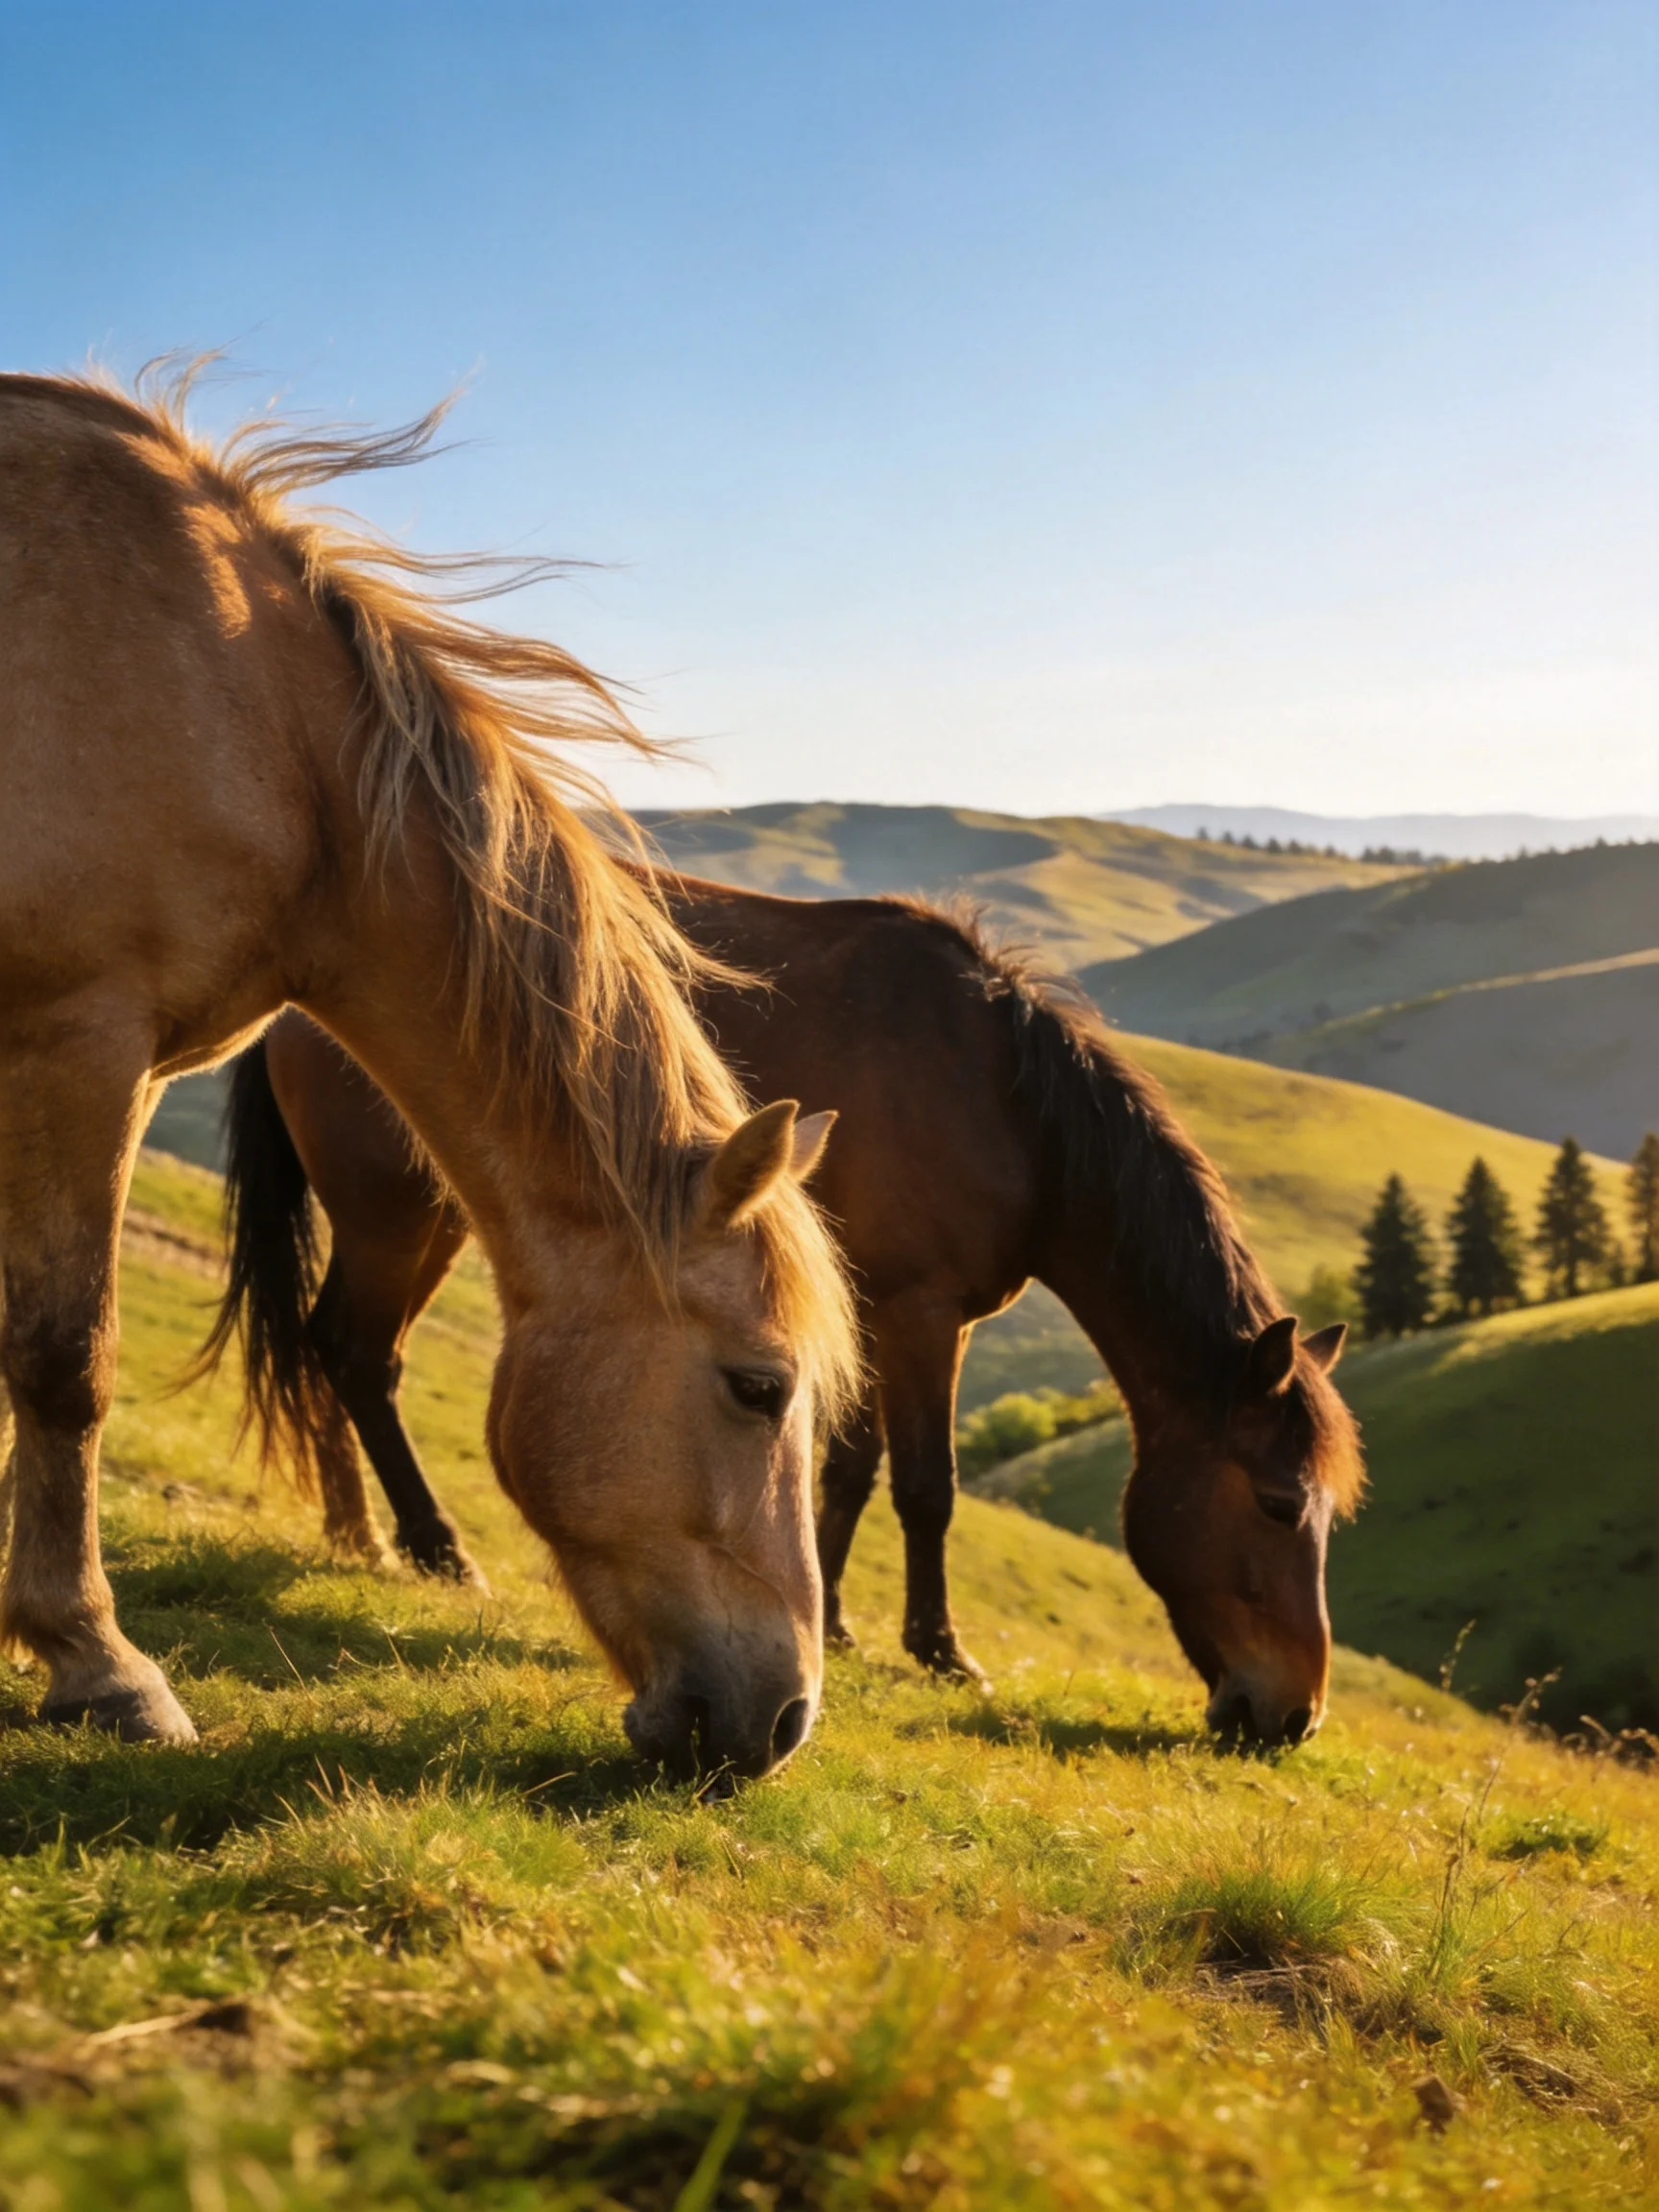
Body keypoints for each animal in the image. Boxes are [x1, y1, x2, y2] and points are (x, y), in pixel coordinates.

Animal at [0, 369, 857, 1780]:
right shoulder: (81, 1045)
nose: (783, 1722)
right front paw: (96, 1664)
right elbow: (67, 1359)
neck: (254, 716)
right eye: (760, 1386)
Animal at [212, 882, 1364, 1746]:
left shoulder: (871, 1316)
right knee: (359, 1355)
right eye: (1276, 1505)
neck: (1004, 1099)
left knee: (332, 1348)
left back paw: (355, 1530)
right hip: (399, 1217)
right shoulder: (922, 1316)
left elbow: (846, 1472)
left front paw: (842, 1627)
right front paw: (941, 1652)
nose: (1293, 1718)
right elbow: (928, 1488)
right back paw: (431, 1546)